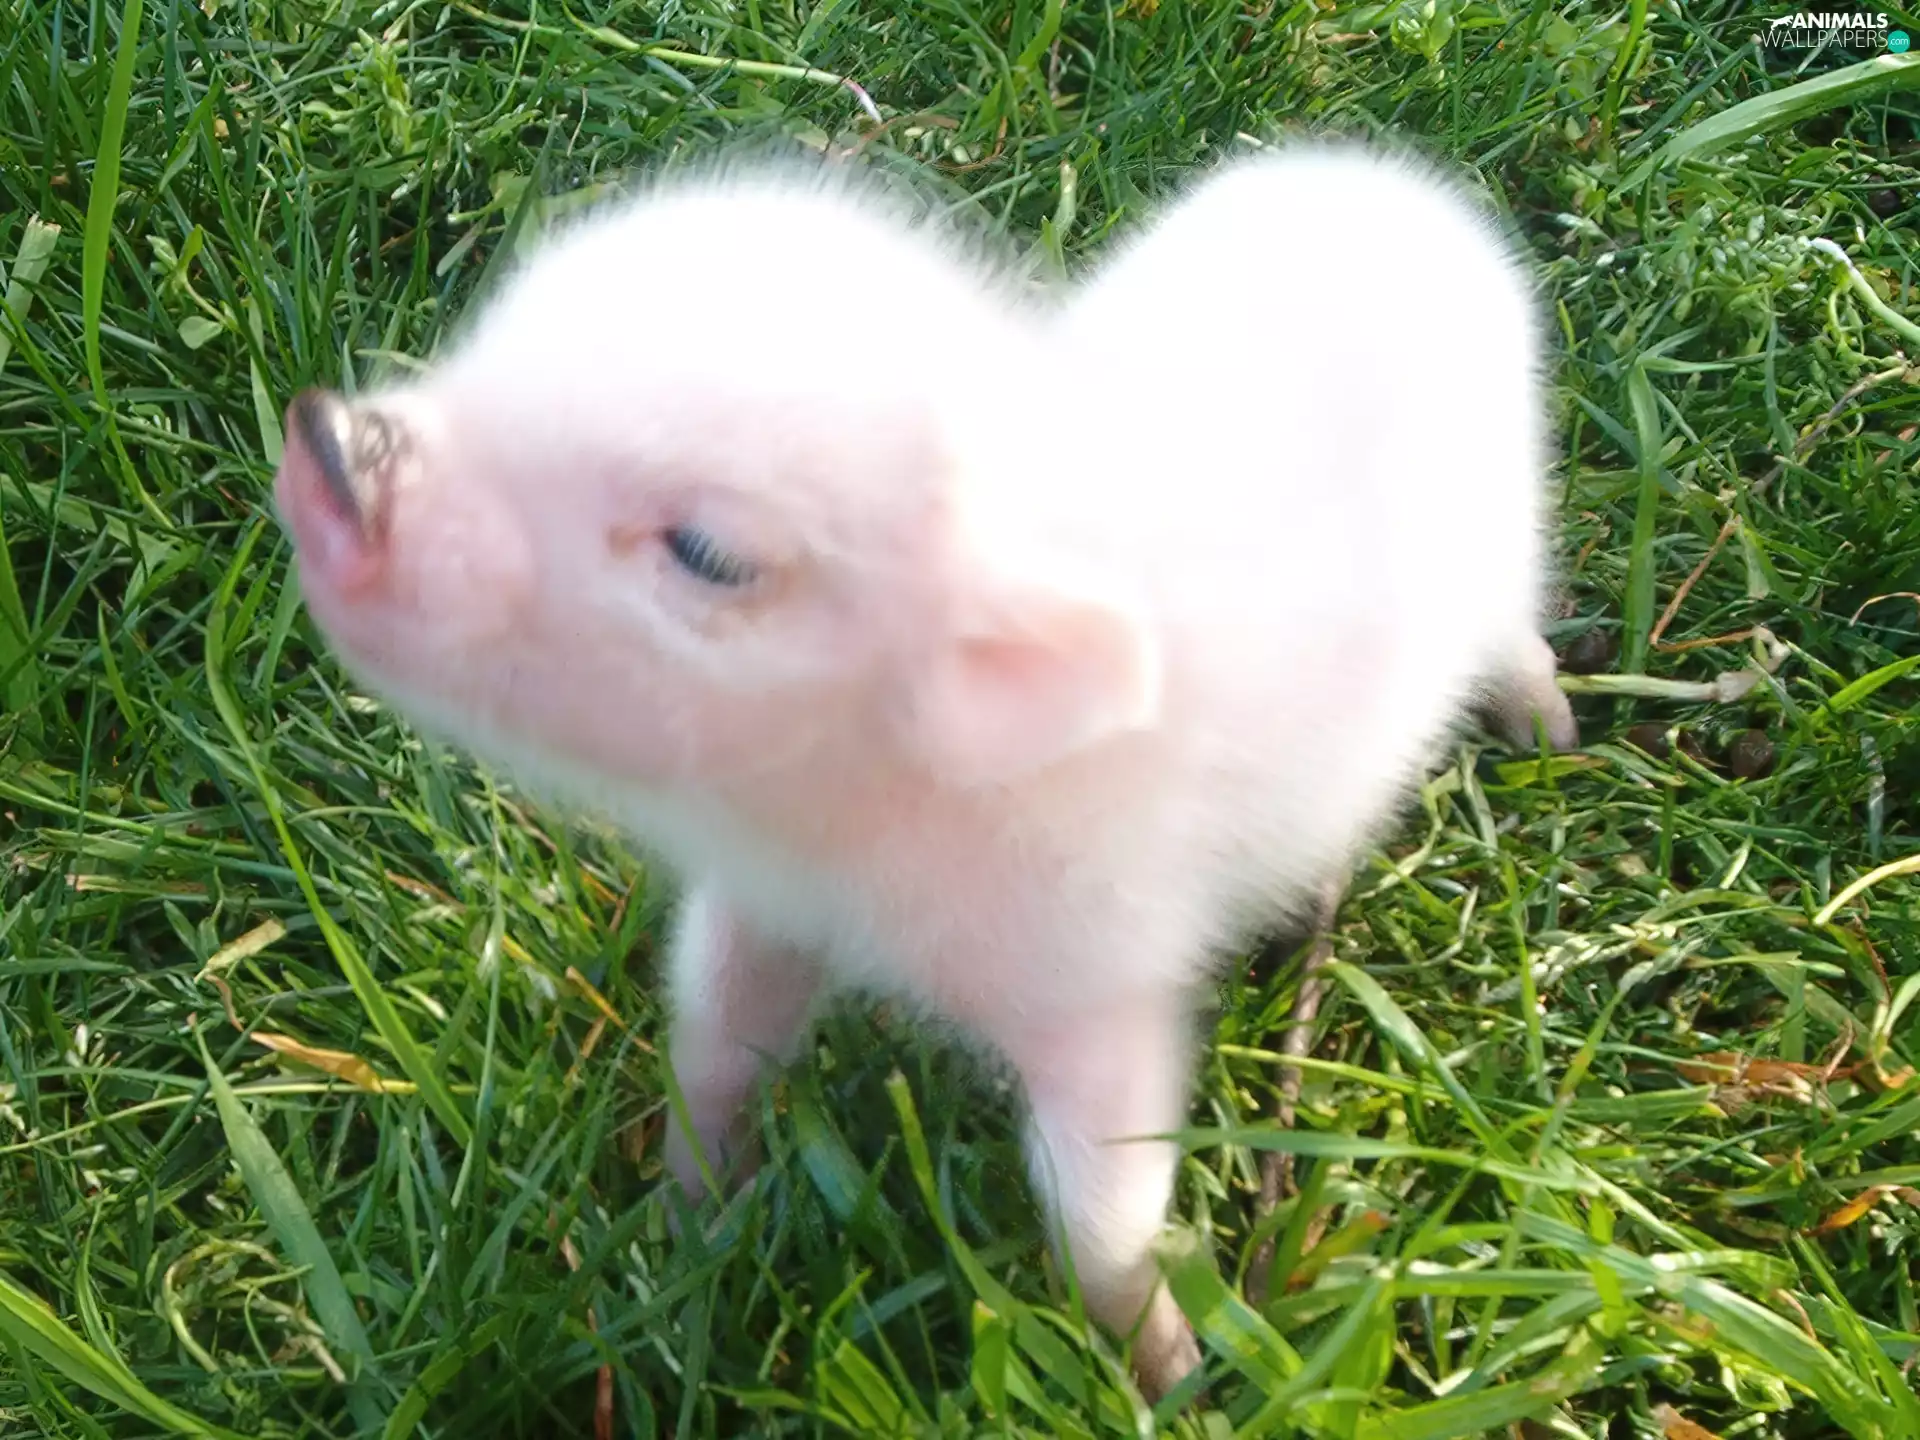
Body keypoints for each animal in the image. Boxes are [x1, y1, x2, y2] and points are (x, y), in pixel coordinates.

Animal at [271, 140, 1577, 1402]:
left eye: (709, 553)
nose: (331, 442)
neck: (850, 845)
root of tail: (1397, 189)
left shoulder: (1101, 968)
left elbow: (1098, 1203)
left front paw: (1173, 1377)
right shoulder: (764, 904)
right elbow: (714, 1033)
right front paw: (681, 1224)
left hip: (1512, 535)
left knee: (1519, 628)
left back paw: (1548, 728)